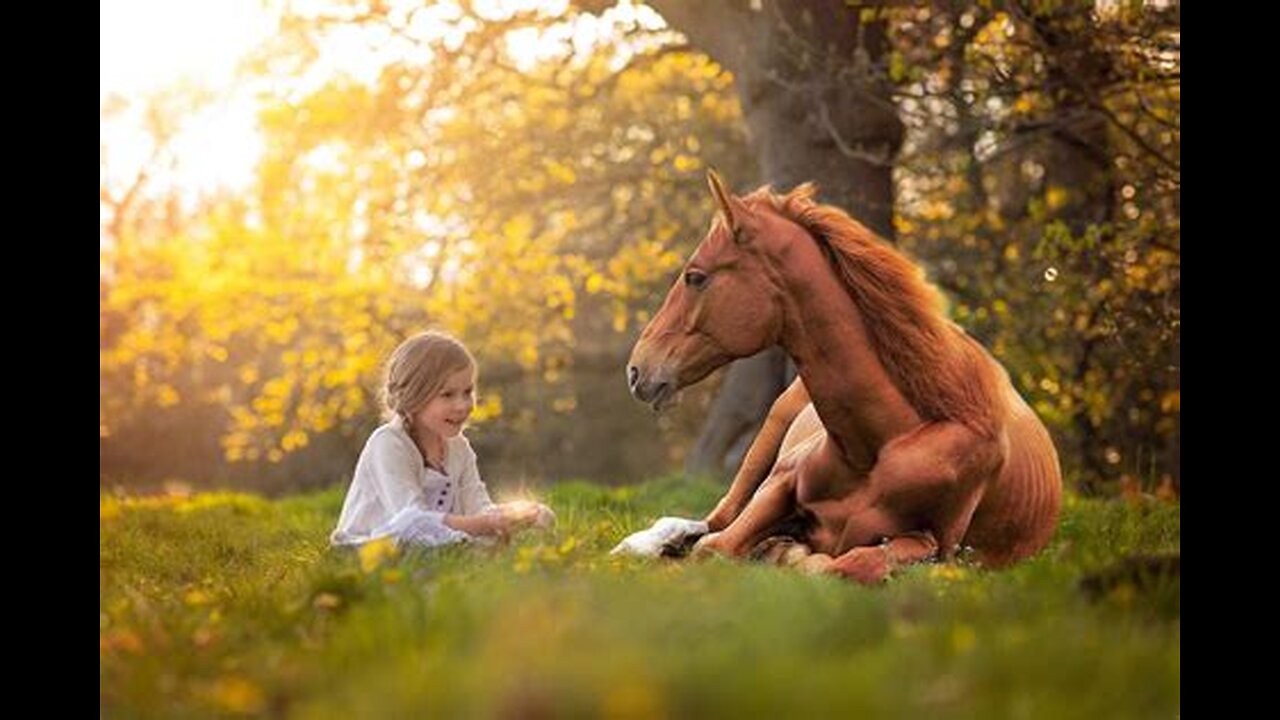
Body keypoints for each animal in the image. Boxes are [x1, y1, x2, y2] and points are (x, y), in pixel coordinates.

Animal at [627, 170, 1059, 579]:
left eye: (695, 277)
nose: (636, 369)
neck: (881, 444)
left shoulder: (937, 547)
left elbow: (850, 564)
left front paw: (785, 552)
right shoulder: (777, 485)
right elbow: (713, 547)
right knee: (709, 521)